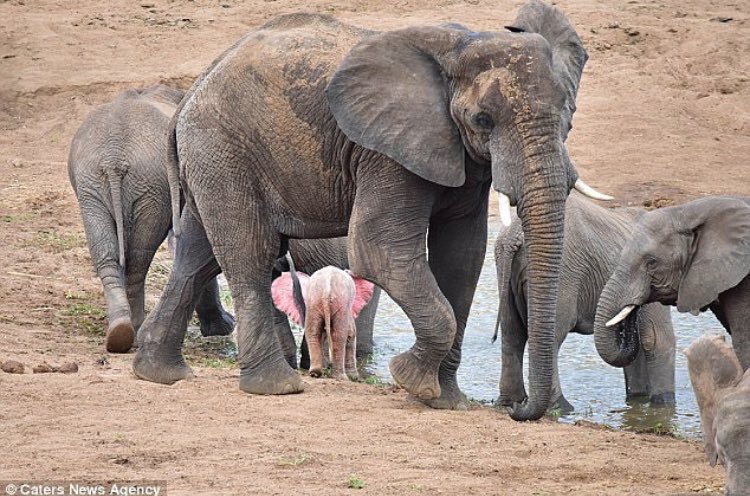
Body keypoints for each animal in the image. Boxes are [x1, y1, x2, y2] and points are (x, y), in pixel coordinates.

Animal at [67, 85, 235, 352]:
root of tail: (114, 159)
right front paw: (223, 328)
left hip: (102, 184)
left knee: (111, 252)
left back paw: (120, 332)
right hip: (141, 185)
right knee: (138, 257)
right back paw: (131, 331)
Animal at [494, 191, 675, 413]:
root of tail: (514, 233)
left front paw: (637, 401)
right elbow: (656, 339)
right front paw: (664, 407)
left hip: (505, 270)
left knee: (512, 333)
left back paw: (510, 403)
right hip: (562, 274)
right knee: (551, 337)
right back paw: (561, 408)